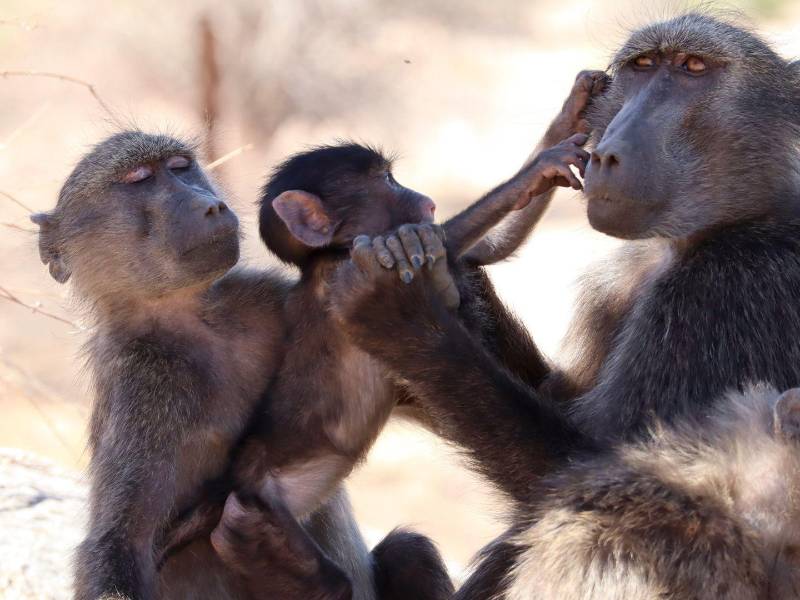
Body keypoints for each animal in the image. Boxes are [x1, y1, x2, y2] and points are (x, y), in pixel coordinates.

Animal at [325, 11, 800, 598]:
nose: (605, 152)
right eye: (643, 65)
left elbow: (592, 480)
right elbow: (556, 397)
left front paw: (405, 313)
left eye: (694, 68)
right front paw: (446, 274)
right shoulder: (615, 287)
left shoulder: (730, 289)